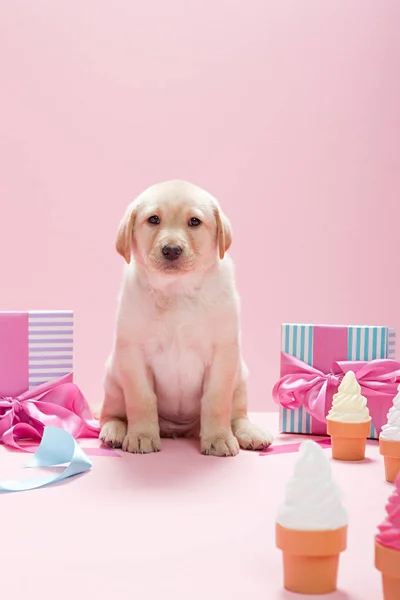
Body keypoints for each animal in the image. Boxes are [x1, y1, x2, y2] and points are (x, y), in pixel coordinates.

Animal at [99, 180, 272, 458]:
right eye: (153, 219)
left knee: (237, 415)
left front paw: (218, 438)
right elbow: (141, 399)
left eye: (194, 222)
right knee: (110, 413)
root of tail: (178, 430)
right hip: (113, 377)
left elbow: (216, 400)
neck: (177, 291)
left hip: (240, 379)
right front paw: (142, 435)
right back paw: (115, 430)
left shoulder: (223, 354)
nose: (171, 250)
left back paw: (249, 432)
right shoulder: (133, 354)